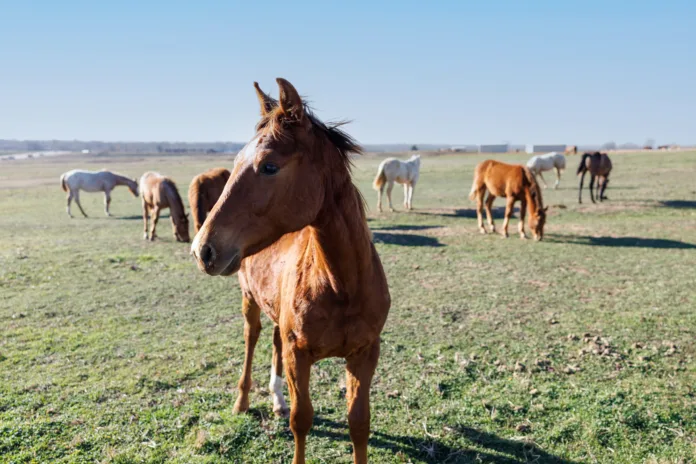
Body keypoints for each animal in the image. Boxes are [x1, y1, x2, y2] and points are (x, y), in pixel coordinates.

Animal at [191, 79, 390, 464]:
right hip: (250, 302)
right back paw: (243, 400)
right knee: (252, 339)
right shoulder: (299, 354)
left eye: (269, 166)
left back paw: (276, 399)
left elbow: (359, 422)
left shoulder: (365, 353)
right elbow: (302, 420)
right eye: (235, 163)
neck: (340, 284)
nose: (202, 249)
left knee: (272, 343)